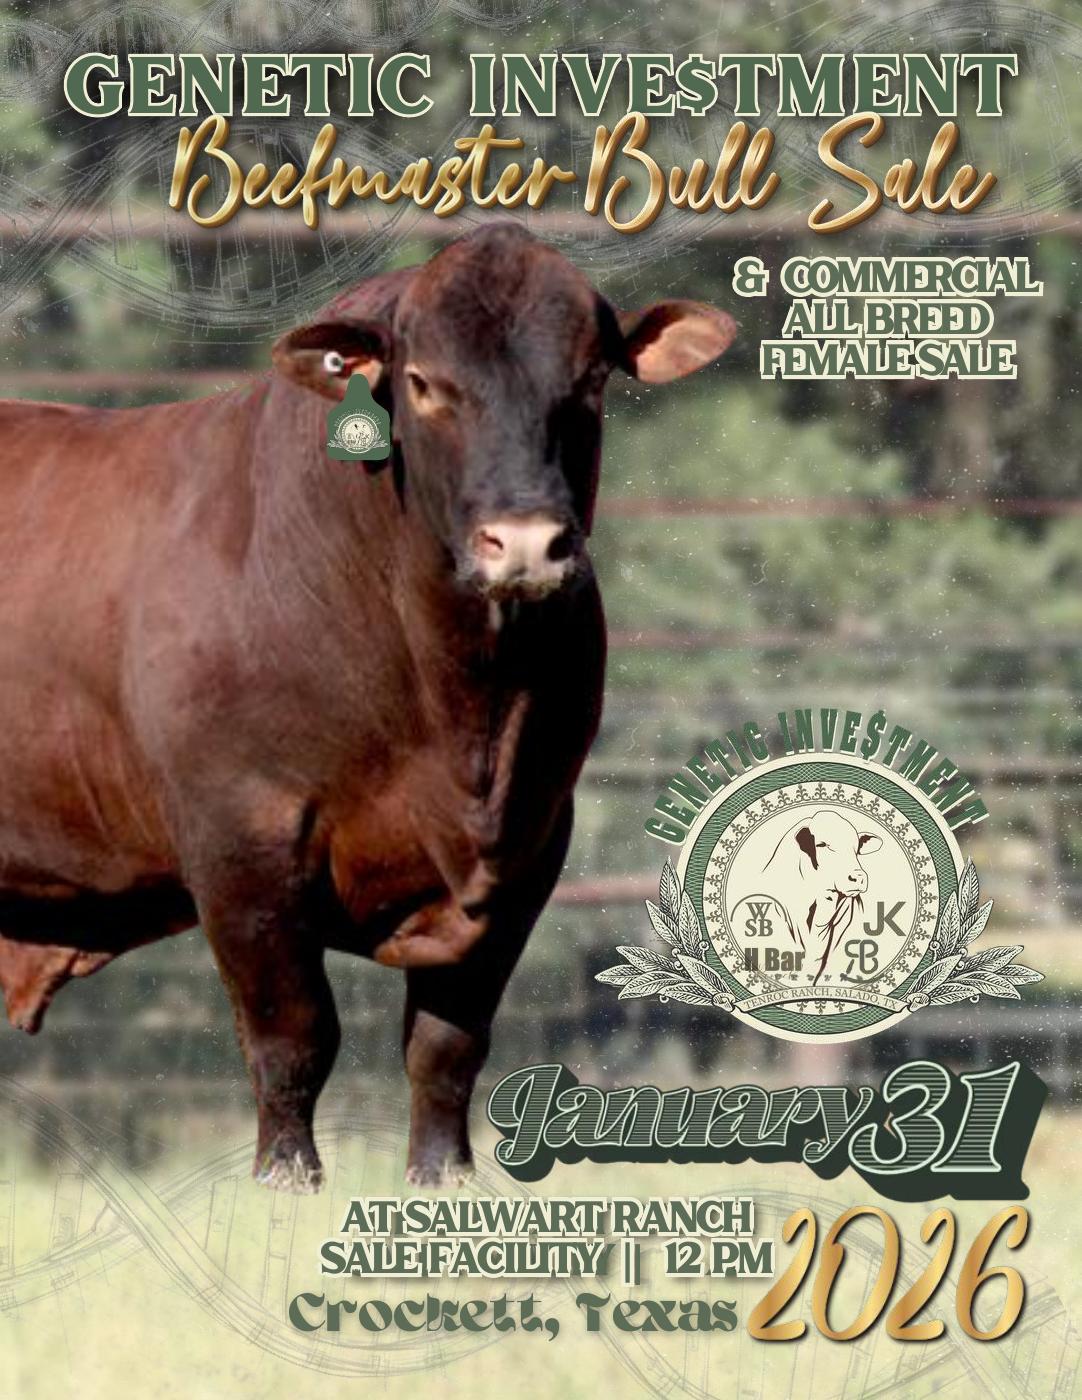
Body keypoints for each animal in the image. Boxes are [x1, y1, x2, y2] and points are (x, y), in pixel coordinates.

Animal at [0, 224, 735, 1192]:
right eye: (422, 382)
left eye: (590, 379)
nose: (525, 542)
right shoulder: (239, 838)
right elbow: (293, 1037)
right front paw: (287, 1182)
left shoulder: (532, 842)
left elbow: (446, 1046)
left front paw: (442, 1178)